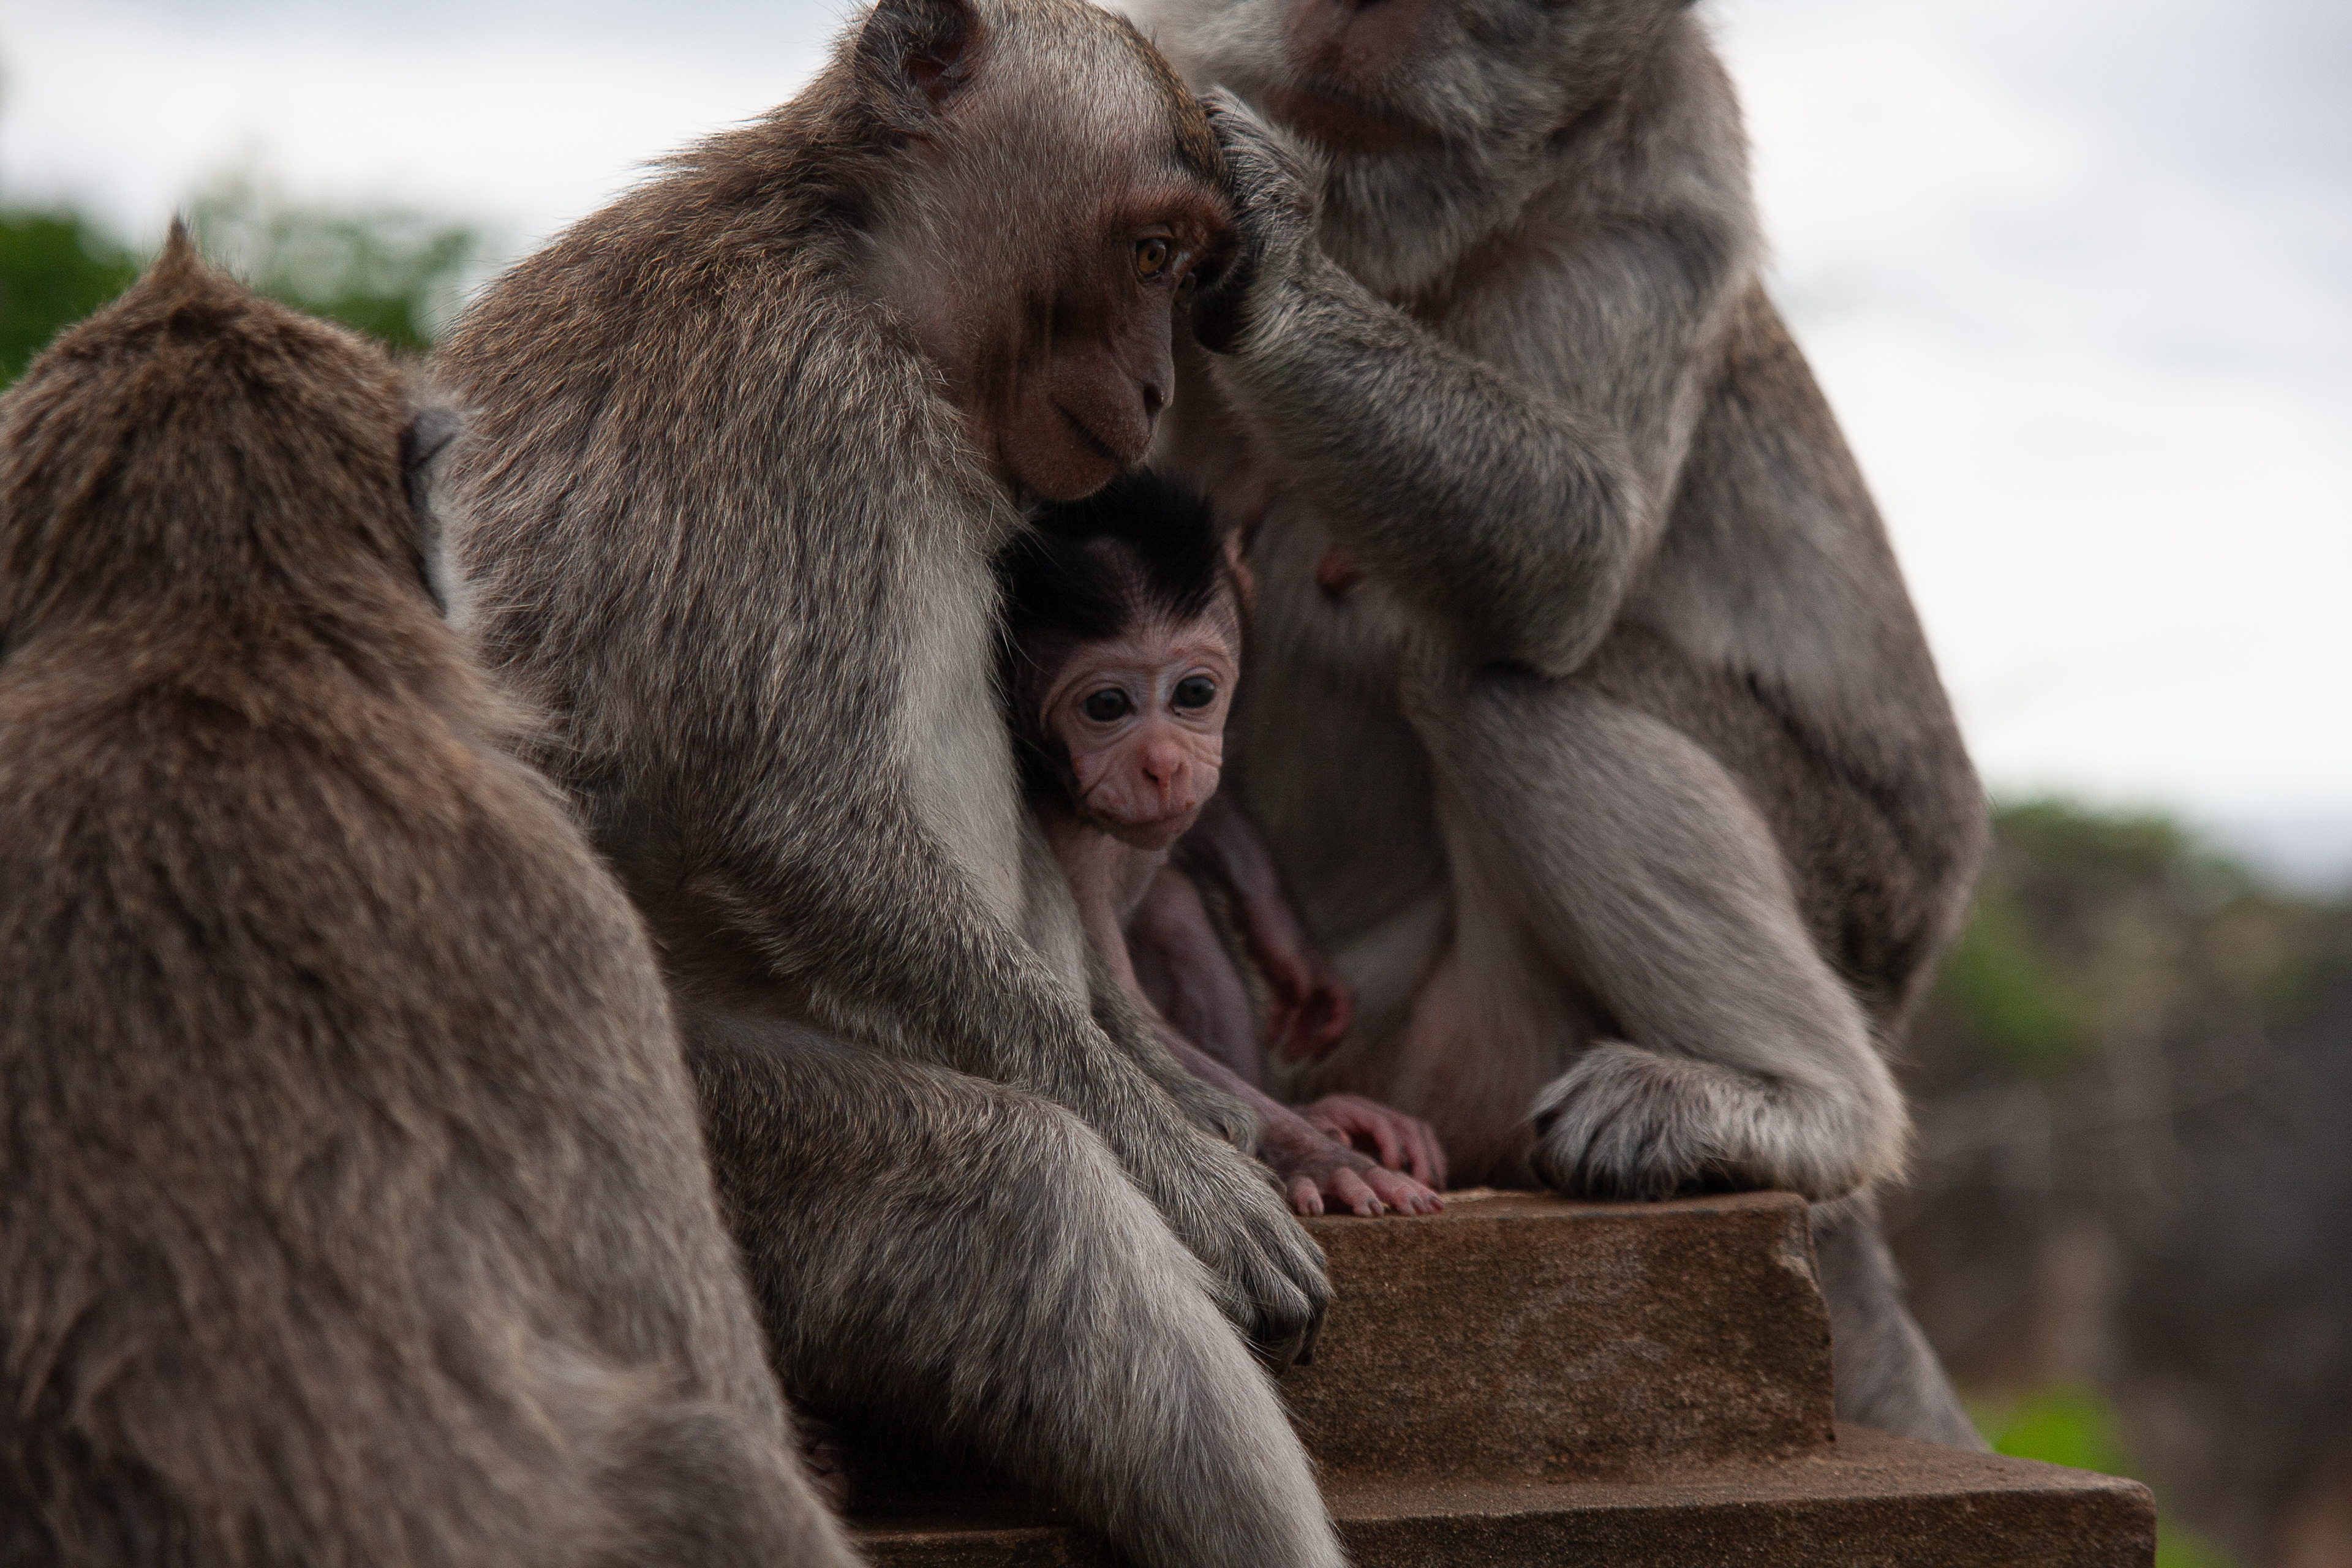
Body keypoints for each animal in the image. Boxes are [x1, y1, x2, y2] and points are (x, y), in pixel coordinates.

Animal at [429, 0, 1347, 1560]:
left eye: (1186, 272)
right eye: (1148, 253)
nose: (1159, 384)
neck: (858, 270)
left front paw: (1191, 1097)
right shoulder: (798, 403)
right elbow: (796, 822)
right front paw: (1188, 1176)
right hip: (676, 1143)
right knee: (1022, 1198)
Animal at [1002, 470, 1447, 1216]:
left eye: (1194, 692)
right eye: (1105, 706)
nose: (1162, 765)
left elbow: (1207, 815)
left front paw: (1287, 945)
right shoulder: (1055, 832)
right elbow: (1115, 1020)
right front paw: (1322, 1158)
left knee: (1175, 907)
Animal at [1132, 0, 1992, 1448]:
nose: (1356, 22)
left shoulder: (1677, 170)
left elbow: (1572, 553)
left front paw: (1273, 258)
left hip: (1543, 1015)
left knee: (1487, 678)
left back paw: (1802, 1106)